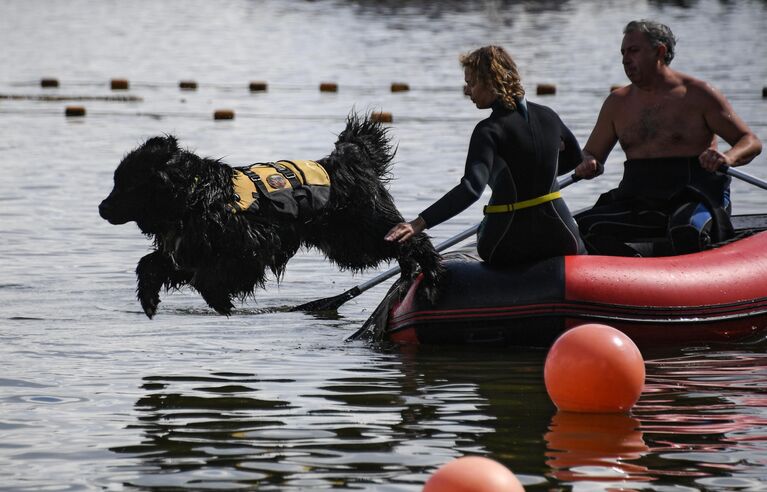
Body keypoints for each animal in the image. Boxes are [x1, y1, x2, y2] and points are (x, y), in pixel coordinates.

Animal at [99, 113, 444, 318]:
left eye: (125, 184)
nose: (101, 208)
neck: (193, 196)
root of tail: (348, 158)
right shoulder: (190, 247)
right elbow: (152, 263)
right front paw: (149, 299)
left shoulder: (253, 245)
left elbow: (210, 276)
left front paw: (220, 301)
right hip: (347, 241)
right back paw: (409, 270)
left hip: (358, 232)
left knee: (413, 237)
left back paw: (428, 273)